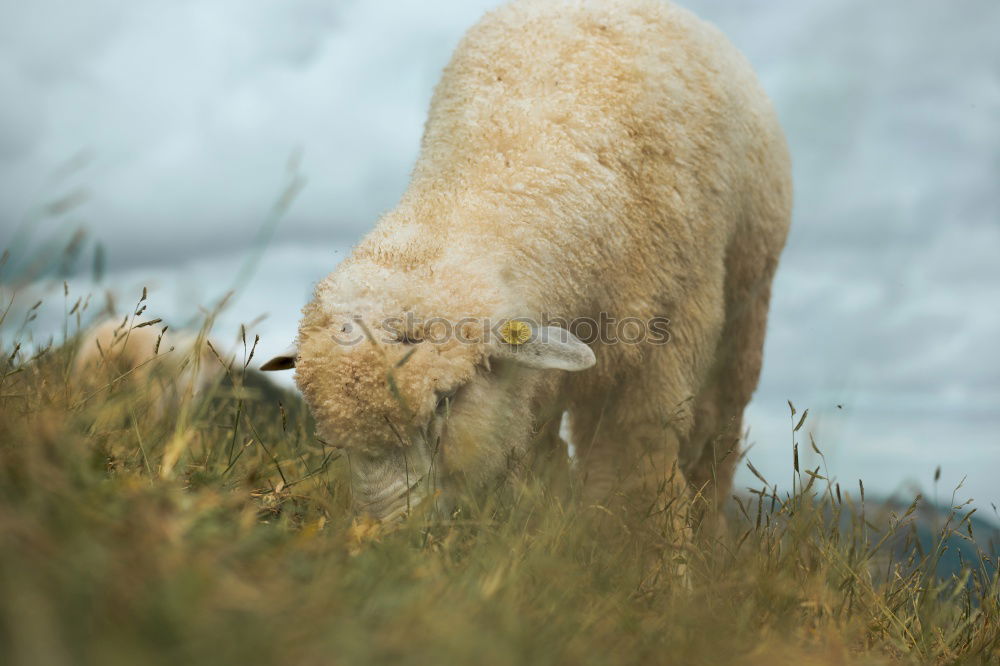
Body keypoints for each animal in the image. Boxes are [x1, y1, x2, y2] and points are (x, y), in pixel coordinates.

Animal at [262, 0, 792, 528]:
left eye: (445, 400)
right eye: (330, 435)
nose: (392, 536)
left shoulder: (666, 335)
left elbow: (639, 449)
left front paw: (637, 537)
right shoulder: (533, 372)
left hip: (748, 300)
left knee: (720, 425)